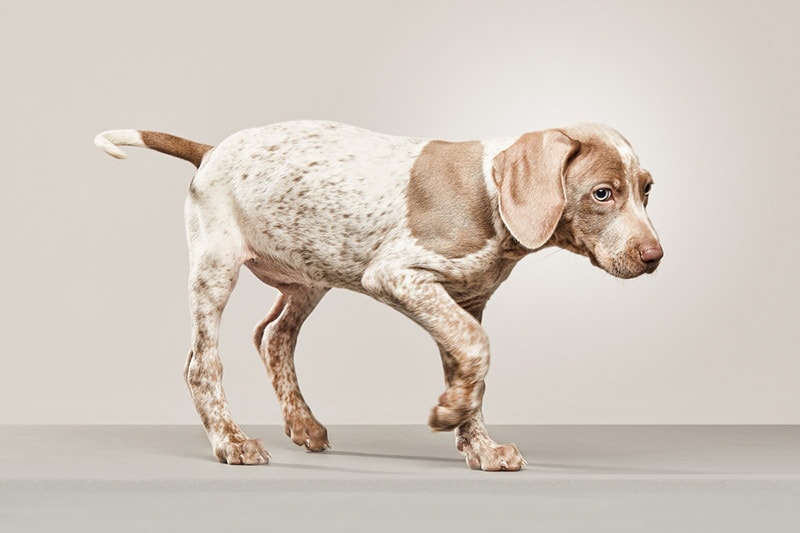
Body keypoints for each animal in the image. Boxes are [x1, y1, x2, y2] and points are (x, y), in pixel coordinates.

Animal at [95, 120, 664, 470]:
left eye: (647, 190)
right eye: (602, 194)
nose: (655, 257)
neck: (491, 196)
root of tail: (212, 150)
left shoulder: (463, 301)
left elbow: (472, 367)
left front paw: (476, 441)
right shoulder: (398, 277)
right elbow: (477, 347)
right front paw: (448, 414)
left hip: (310, 273)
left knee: (272, 336)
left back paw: (302, 423)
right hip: (216, 265)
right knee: (202, 363)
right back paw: (230, 442)